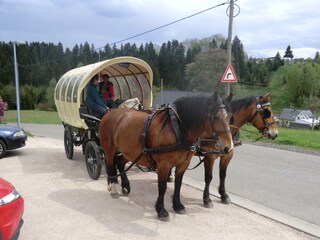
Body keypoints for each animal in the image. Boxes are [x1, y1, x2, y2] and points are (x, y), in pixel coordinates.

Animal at [99, 92, 234, 221]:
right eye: (215, 117)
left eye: (230, 118)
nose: (228, 147)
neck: (178, 129)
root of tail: (110, 113)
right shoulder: (164, 164)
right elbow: (162, 187)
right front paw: (161, 211)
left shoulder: (183, 163)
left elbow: (178, 184)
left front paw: (178, 205)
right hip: (110, 149)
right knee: (110, 164)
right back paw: (113, 187)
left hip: (130, 151)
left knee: (120, 162)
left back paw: (125, 186)